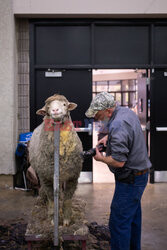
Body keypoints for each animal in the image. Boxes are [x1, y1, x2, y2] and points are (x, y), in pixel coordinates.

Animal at [29, 93, 83, 227]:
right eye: (47, 107)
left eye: (64, 104)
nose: (55, 110)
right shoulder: (46, 177)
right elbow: (52, 199)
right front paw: (54, 218)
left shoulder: (73, 176)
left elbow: (68, 198)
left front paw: (67, 219)